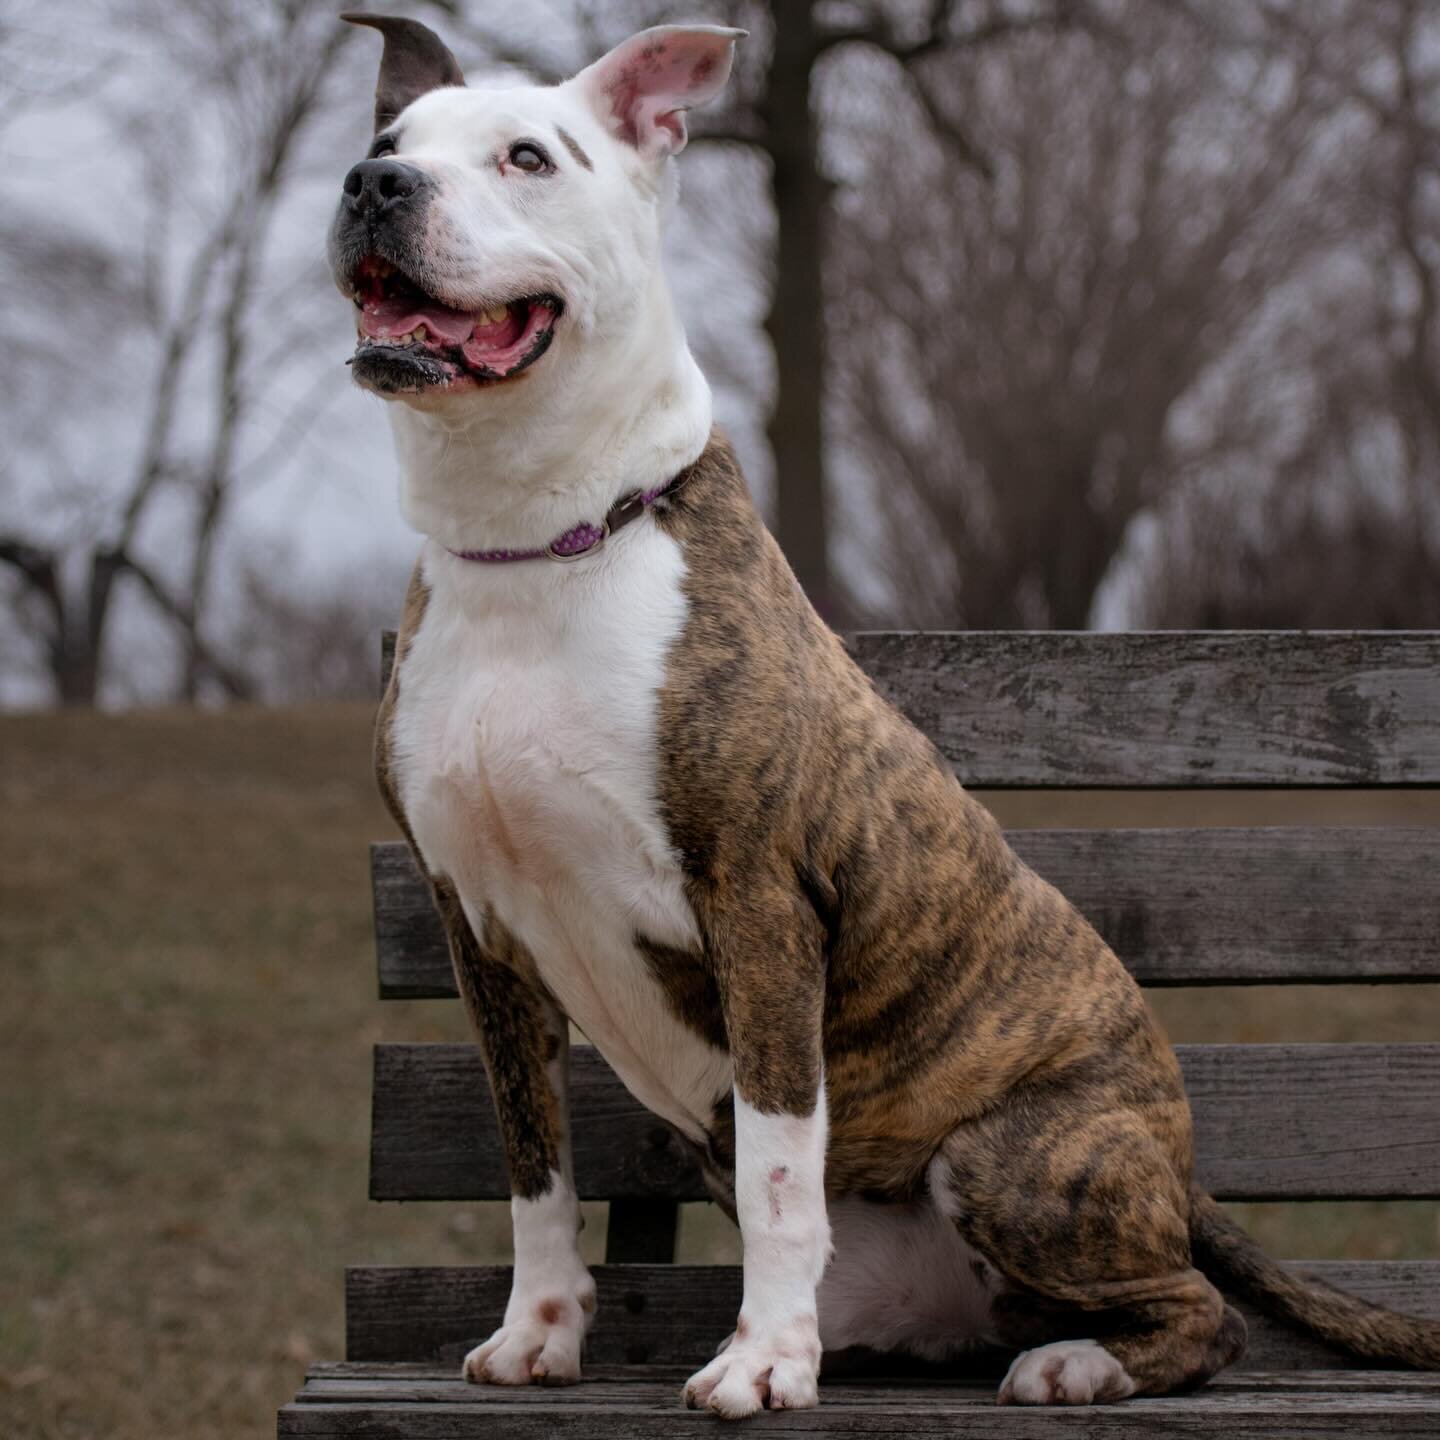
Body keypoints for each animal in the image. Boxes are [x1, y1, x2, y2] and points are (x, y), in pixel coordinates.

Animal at [331, 11, 1440, 1416]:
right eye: (387, 140)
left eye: (527, 156)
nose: (374, 187)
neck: (537, 544)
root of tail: (1181, 1176)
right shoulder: (474, 927)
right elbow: (536, 1169)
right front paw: (541, 1331)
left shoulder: (759, 905)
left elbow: (776, 1165)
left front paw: (761, 1363)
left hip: (1017, 1159)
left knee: (1201, 1313)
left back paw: (1074, 1361)